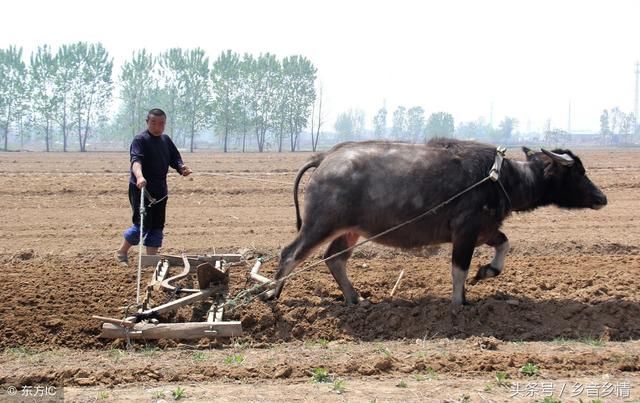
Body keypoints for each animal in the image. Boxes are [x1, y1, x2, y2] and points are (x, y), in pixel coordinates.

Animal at [268, 140, 608, 306]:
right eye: (578, 172)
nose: (602, 198)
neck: (501, 178)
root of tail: (325, 157)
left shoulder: (484, 229)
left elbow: (504, 245)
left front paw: (487, 272)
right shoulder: (465, 231)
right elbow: (459, 269)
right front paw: (459, 302)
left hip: (351, 230)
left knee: (334, 258)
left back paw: (355, 298)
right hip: (320, 224)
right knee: (291, 254)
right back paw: (272, 295)